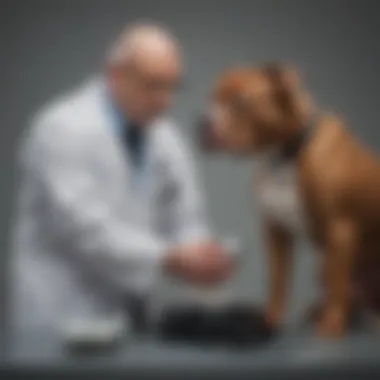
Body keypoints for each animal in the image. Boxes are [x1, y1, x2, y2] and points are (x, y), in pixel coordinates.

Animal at [199, 63, 380, 338]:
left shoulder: (340, 231)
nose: (201, 123)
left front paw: (331, 325)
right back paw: (320, 310)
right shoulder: (276, 231)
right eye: (212, 98)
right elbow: (278, 279)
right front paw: (270, 319)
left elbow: (337, 283)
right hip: (325, 264)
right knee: (350, 295)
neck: (284, 156)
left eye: (240, 101)